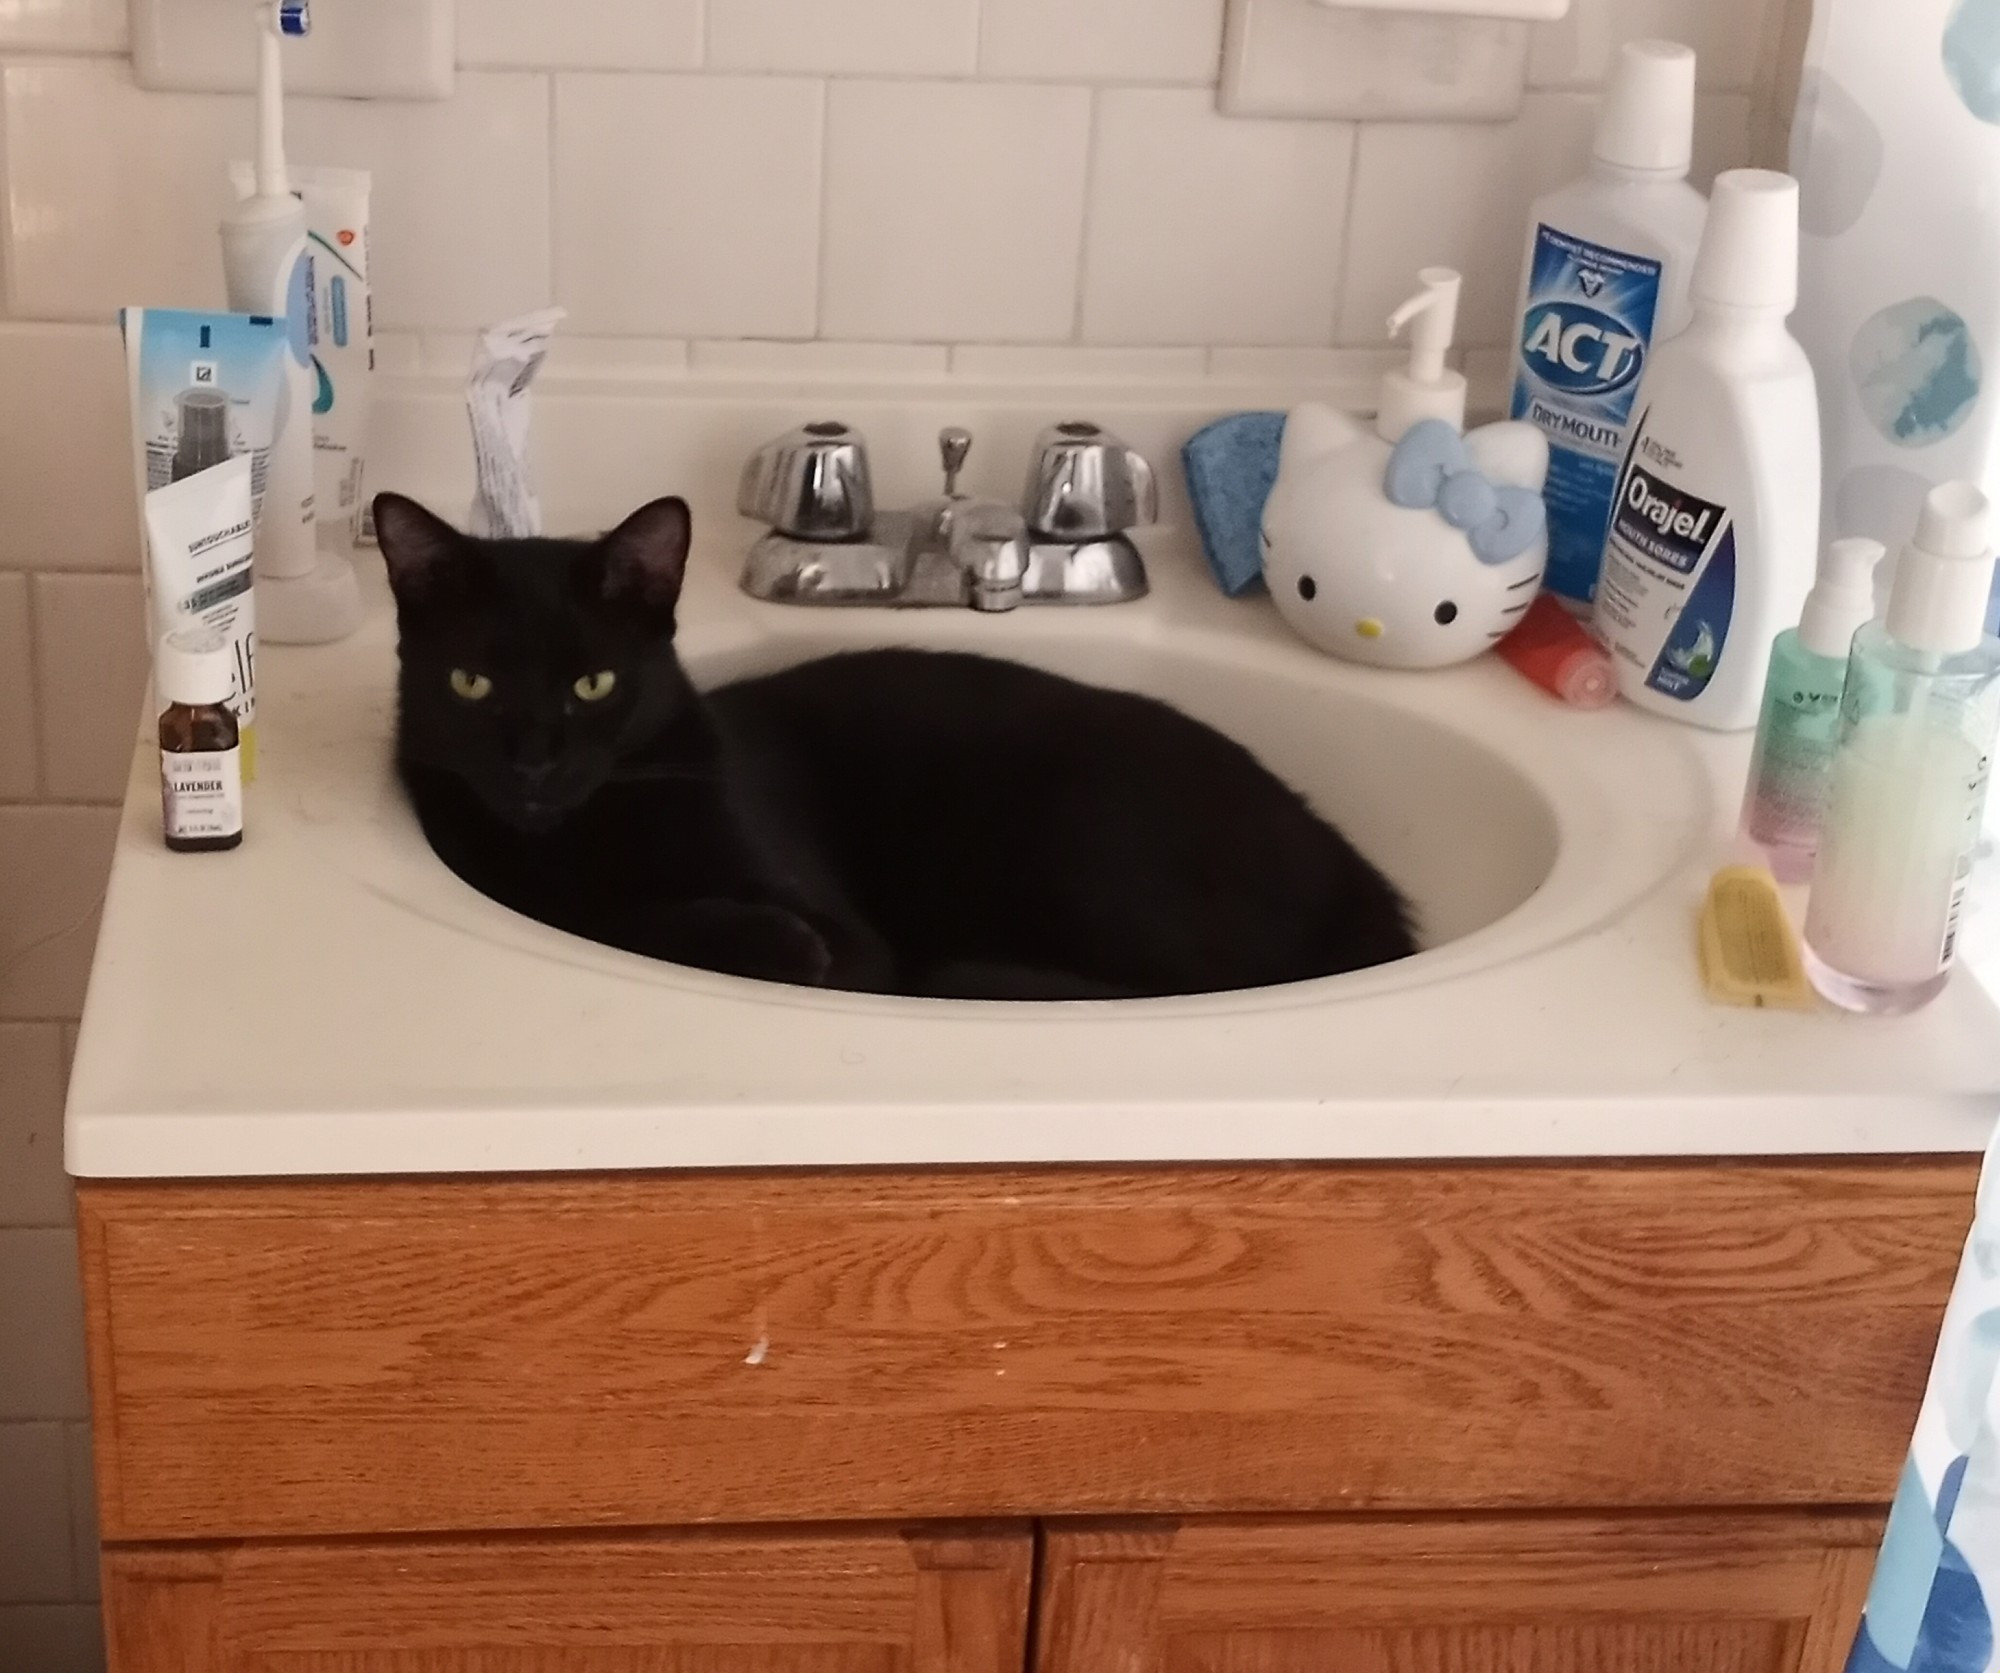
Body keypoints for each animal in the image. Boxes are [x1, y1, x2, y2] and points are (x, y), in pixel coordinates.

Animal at [372, 490, 1408, 1000]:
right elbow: (610, 916)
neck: (590, 833)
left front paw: (768, 935)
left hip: (1083, 843)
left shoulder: (852, 941)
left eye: (593, 684)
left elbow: (652, 920)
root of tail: (1353, 874)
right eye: (471, 685)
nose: (533, 763)